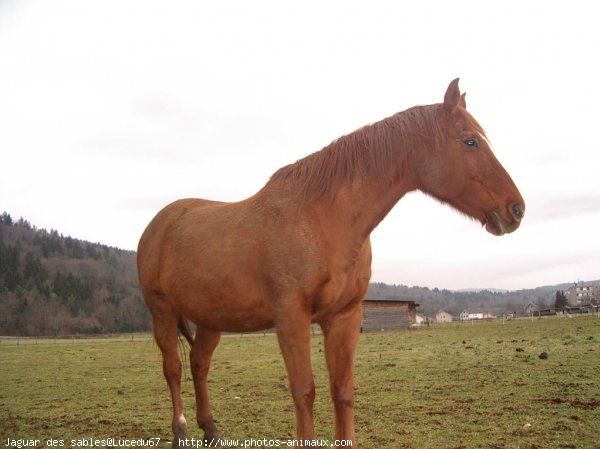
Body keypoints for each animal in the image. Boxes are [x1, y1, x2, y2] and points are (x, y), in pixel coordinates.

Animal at [137, 79, 524, 446]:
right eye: (470, 141)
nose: (516, 209)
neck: (322, 219)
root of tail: (160, 223)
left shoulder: (344, 317)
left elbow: (342, 391)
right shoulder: (291, 317)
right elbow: (304, 391)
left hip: (211, 319)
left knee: (199, 364)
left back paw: (211, 429)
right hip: (162, 312)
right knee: (173, 368)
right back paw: (181, 431)